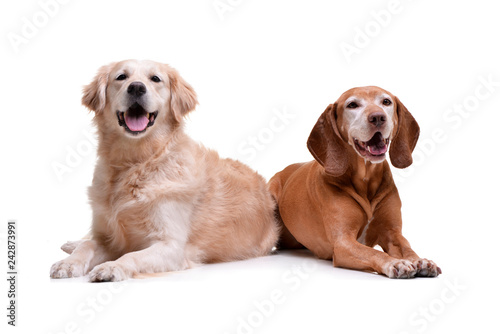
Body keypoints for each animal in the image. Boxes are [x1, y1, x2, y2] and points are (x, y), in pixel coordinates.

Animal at [49, 60, 282, 282]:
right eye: (121, 77)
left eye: (155, 79)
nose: (136, 87)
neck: (135, 163)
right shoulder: (107, 236)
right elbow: (87, 245)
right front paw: (68, 263)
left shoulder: (171, 246)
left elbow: (132, 255)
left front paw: (112, 267)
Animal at [270, 86, 442, 280]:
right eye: (352, 105)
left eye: (386, 101)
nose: (378, 117)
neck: (366, 179)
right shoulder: (343, 242)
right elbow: (374, 252)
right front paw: (395, 262)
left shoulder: (392, 233)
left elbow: (407, 247)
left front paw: (421, 260)